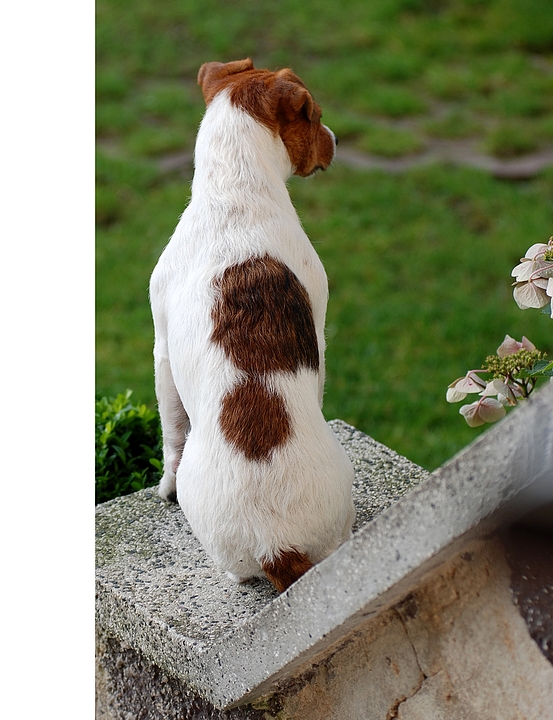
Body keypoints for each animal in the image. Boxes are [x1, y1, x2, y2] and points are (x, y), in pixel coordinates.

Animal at [149, 60, 354, 592]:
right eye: (314, 116)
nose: (336, 139)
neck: (232, 189)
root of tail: (277, 545)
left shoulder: (160, 350)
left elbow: (171, 434)